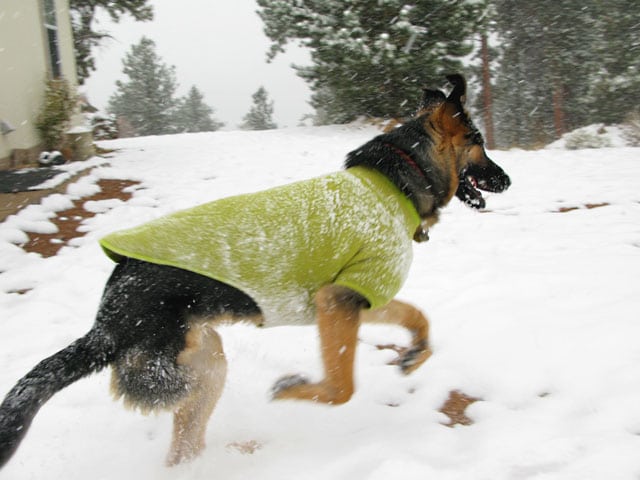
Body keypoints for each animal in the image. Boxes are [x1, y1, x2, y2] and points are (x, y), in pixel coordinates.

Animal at [0, 75, 510, 468]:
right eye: (480, 144)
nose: (507, 180)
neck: (396, 179)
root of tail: (106, 322)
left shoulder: (358, 296)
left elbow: (416, 317)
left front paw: (415, 354)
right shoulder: (338, 301)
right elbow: (342, 387)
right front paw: (292, 391)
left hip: (209, 365)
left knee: (184, 446)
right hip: (178, 376)